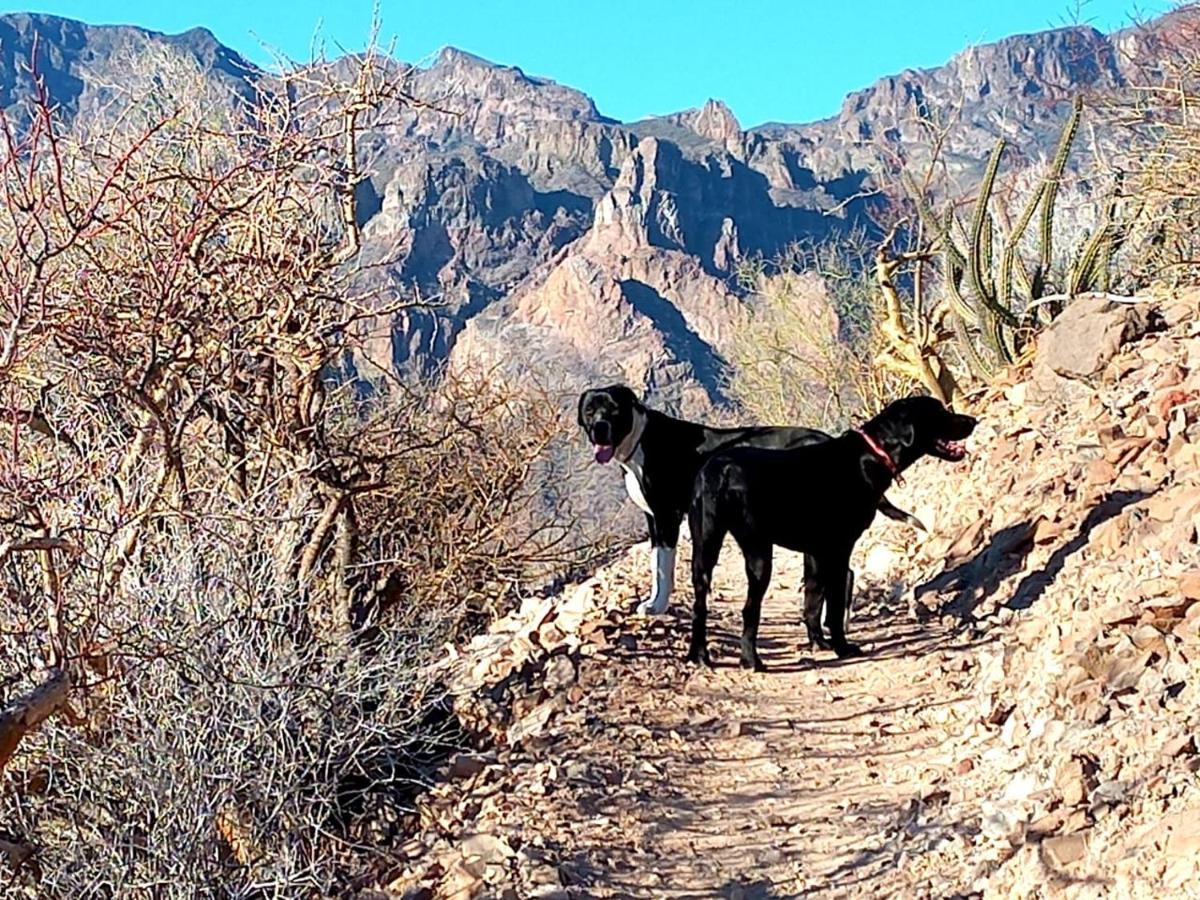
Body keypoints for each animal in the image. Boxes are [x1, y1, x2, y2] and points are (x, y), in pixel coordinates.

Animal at [576, 384, 921, 624]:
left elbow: (664, 566)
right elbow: (654, 563)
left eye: (613, 410)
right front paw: (653, 601)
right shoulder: (653, 519)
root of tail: (830, 440)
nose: (600, 428)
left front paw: (658, 606)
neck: (638, 441)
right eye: (590, 411)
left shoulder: (666, 515)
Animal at [686, 396, 974, 672]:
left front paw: (819, 643)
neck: (871, 455)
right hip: (758, 552)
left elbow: (813, 599)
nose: (973, 420)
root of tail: (719, 471)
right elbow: (834, 606)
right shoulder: (839, 550)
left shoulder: (816, 552)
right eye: (938, 412)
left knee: (700, 604)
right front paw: (842, 647)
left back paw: (698, 655)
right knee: (750, 609)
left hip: (704, 549)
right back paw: (750, 660)